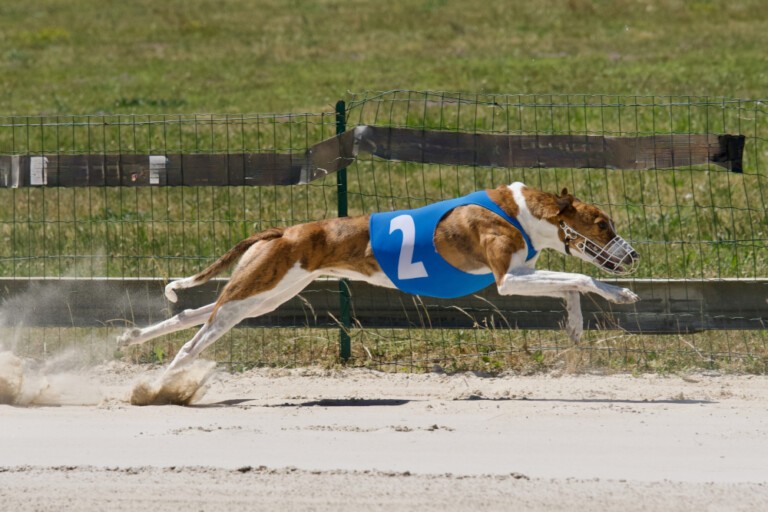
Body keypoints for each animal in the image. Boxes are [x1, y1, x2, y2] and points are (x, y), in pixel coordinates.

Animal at [117, 183, 640, 372]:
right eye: (603, 224)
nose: (632, 255)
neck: (521, 210)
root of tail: (284, 230)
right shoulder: (507, 279)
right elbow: (581, 280)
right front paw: (620, 293)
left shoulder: (525, 271)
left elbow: (571, 287)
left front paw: (576, 327)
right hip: (259, 288)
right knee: (194, 339)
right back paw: (165, 381)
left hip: (265, 292)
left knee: (196, 312)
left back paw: (133, 338)